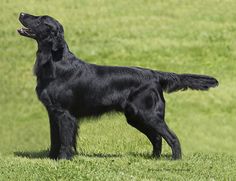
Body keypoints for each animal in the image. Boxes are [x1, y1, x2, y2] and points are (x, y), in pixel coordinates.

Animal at [17, 12, 218, 160]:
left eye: (41, 19)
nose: (21, 12)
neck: (54, 63)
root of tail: (154, 74)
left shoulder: (65, 113)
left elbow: (65, 140)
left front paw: (64, 160)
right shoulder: (53, 113)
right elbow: (55, 139)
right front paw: (51, 159)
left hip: (148, 114)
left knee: (172, 137)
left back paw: (175, 159)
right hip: (135, 116)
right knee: (157, 137)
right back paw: (154, 157)